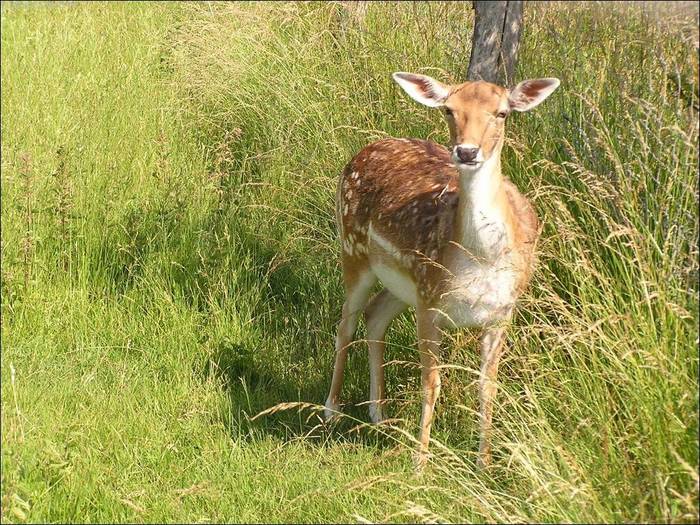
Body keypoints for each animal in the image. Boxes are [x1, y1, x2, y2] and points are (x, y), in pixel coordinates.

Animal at [322, 69, 556, 466]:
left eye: (502, 112)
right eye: (449, 109)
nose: (467, 151)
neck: (480, 259)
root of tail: (366, 149)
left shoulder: (502, 311)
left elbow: (487, 385)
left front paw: (484, 464)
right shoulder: (431, 302)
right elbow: (432, 383)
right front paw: (420, 463)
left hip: (405, 284)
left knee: (375, 315)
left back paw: (379, 415)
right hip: (353, 248)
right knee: (346, 324)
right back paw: (330, 411)